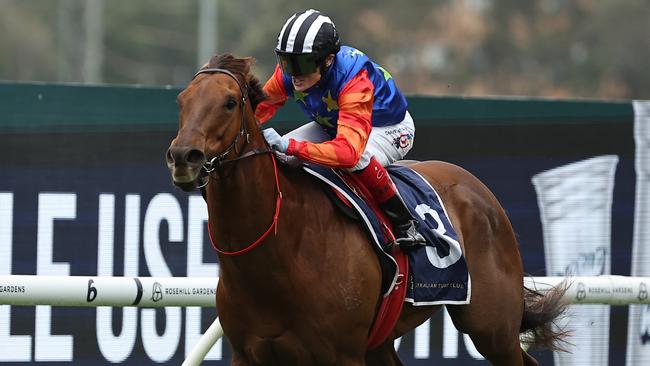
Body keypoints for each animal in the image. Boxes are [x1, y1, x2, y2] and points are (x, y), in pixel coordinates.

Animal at [167, 54, 568, 366]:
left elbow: (350, 149)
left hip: (491, 326)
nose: (184, 156)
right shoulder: (248, 353)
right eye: (181, 100)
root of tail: (478, 189)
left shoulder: (342, 354)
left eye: (230, 102)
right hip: (385, 343)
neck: (279, 251)